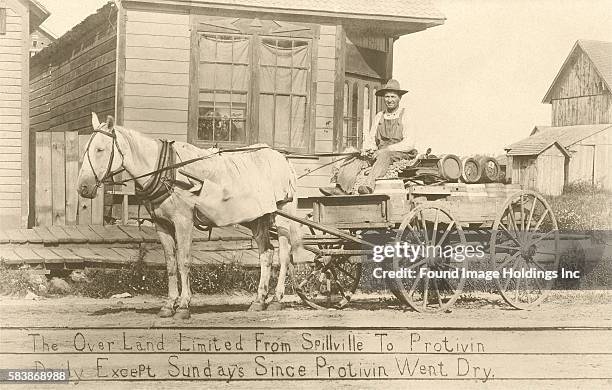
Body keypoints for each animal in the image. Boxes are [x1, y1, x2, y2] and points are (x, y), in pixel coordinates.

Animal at [77, 112, 302, 320]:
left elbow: (183, 261)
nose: (83, 188)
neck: (167, 170)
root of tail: (283, 159)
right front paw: (169, 305)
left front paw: (184, 305)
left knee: (283, 254)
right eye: (86, 148)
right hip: (257, 218)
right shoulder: (162, 224)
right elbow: (170, 264)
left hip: (283, 215)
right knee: (266, 254)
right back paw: (258, 300)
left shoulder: (183, 222)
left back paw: (276, 299)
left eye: (100, 149)